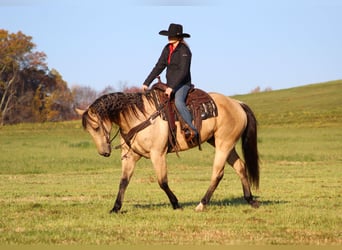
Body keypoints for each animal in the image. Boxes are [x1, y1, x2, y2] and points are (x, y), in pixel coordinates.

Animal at [77, 84, 260, 213]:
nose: (104, 152)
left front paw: (176, 204)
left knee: (218, 173)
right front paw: (115, 208)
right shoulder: (130, 156)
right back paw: (250, 199)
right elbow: (123, 181)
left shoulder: (158, 154)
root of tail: (237, 103)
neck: (140, 117)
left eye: (96, 127)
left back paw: (201, 204)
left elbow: (162, 181)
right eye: (89, 130)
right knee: (240, 167)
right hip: (222, 144)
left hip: (224, 144)